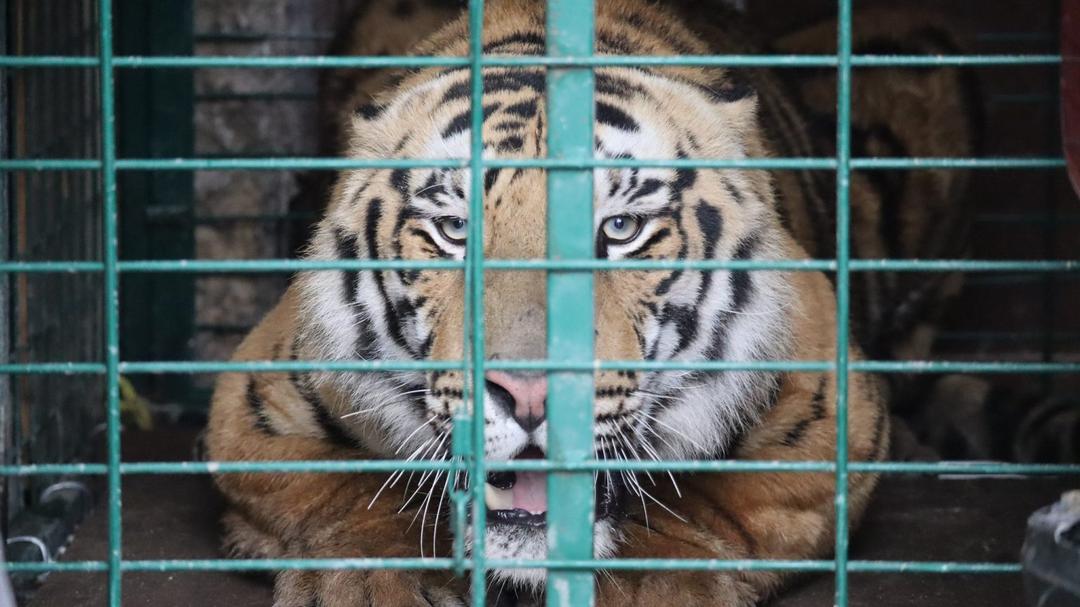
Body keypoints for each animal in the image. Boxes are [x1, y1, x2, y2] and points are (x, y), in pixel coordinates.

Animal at [205, 0, 974, 605]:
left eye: (621, 228)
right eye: (455, 230)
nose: (529, 393)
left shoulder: (834, 415)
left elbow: (712, 501)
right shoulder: (250, 406)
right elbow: (350, 486)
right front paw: (369, 583)